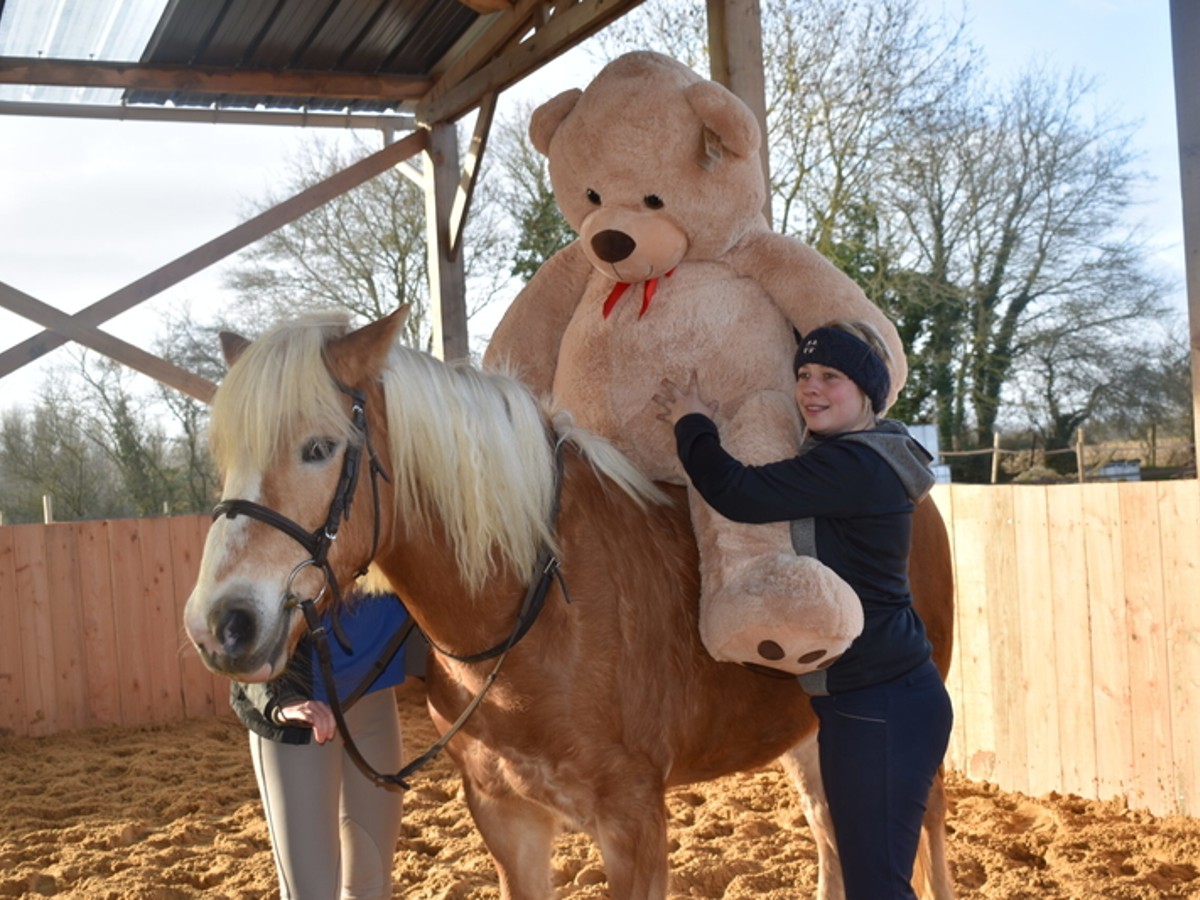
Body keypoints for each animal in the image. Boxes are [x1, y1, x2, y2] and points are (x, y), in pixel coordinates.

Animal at [182, 309, 955, 900]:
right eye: (226, 454)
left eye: (318, 447)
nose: (221, 626)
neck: (539, 612)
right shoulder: (507, 817)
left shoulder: (633, 822)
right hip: (810, 737)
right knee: (830, 833)